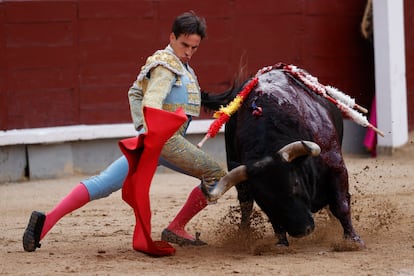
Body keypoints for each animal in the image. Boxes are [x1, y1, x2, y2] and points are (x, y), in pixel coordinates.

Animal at [201, 63, 366, 248]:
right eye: (263, 198)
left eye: (295, 184)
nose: (302, 230)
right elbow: (270, 217)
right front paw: (281, 243)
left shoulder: (336, 166)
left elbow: (340, 205)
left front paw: (353, 240)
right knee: (246, 207)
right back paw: (244, 234)